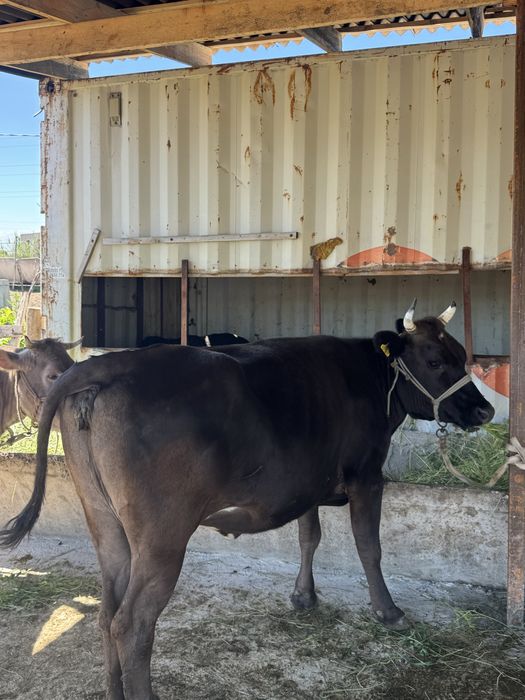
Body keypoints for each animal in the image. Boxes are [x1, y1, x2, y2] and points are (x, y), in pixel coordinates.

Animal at [0, 301, 494, 700]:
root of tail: (106, 366)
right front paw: (388, 612)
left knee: (106, 614)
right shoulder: (368, 475)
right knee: (132, 624)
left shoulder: (306, 482)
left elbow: (309, 536)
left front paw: (303, 596)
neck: (370, 378)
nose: (485, 410)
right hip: (162, 536)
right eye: (435, 359)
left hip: (106, 524)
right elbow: (368, 547)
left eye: (462, 355)